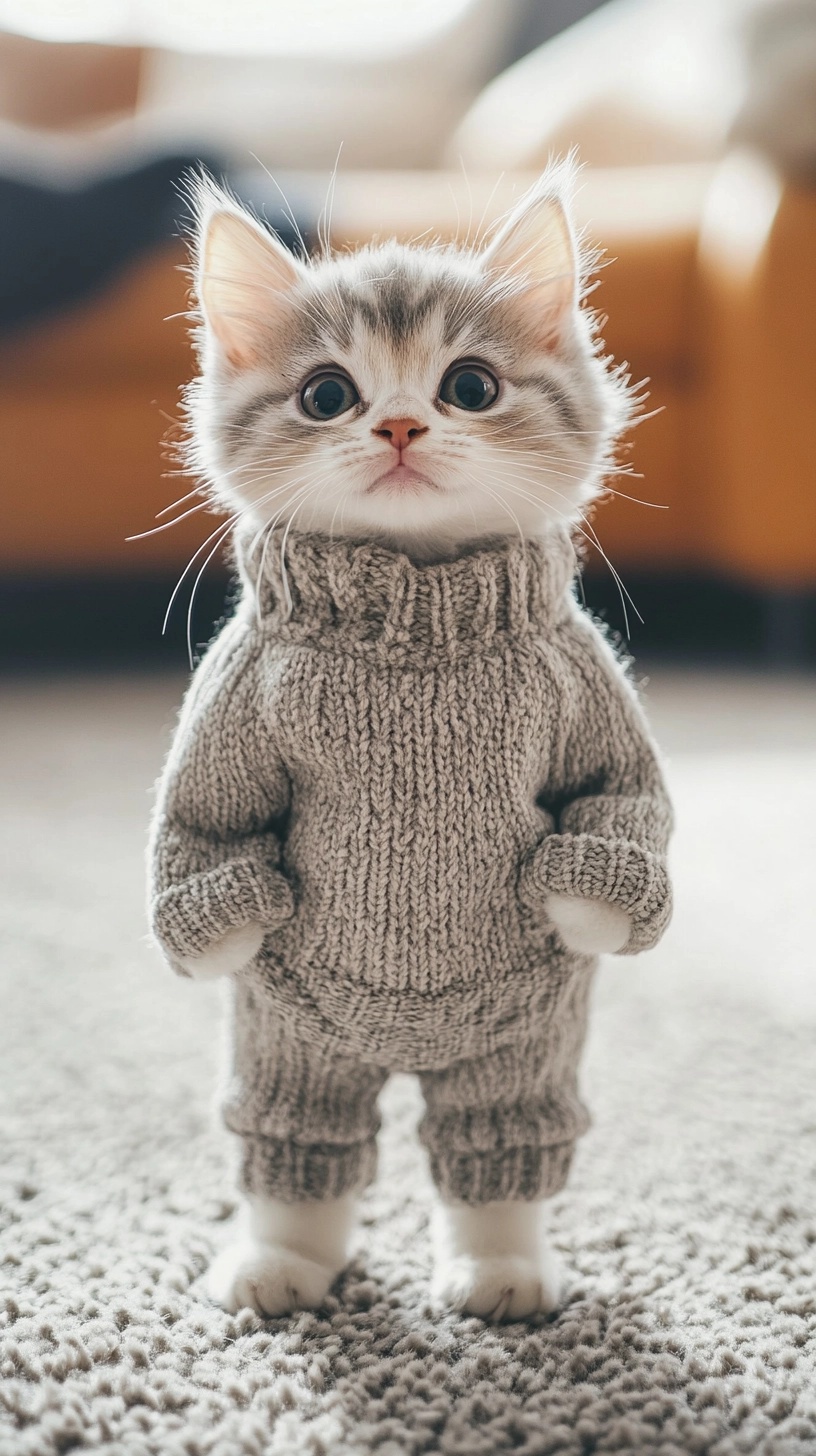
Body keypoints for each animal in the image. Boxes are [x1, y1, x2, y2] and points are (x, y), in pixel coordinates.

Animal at [179, 167, 638, 1322]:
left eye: (469, 387)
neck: (418, 612)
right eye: (326, 396)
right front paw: (221, 930)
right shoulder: (233, 700)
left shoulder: (590, 692)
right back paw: (284, 1262)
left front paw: (581, 902)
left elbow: (618, 800)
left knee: (495, 1141)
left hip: (517, 1043)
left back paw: (500, 1269)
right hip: (294, 1039)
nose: (395, 427)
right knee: (302, 1138)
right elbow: (207, 825)